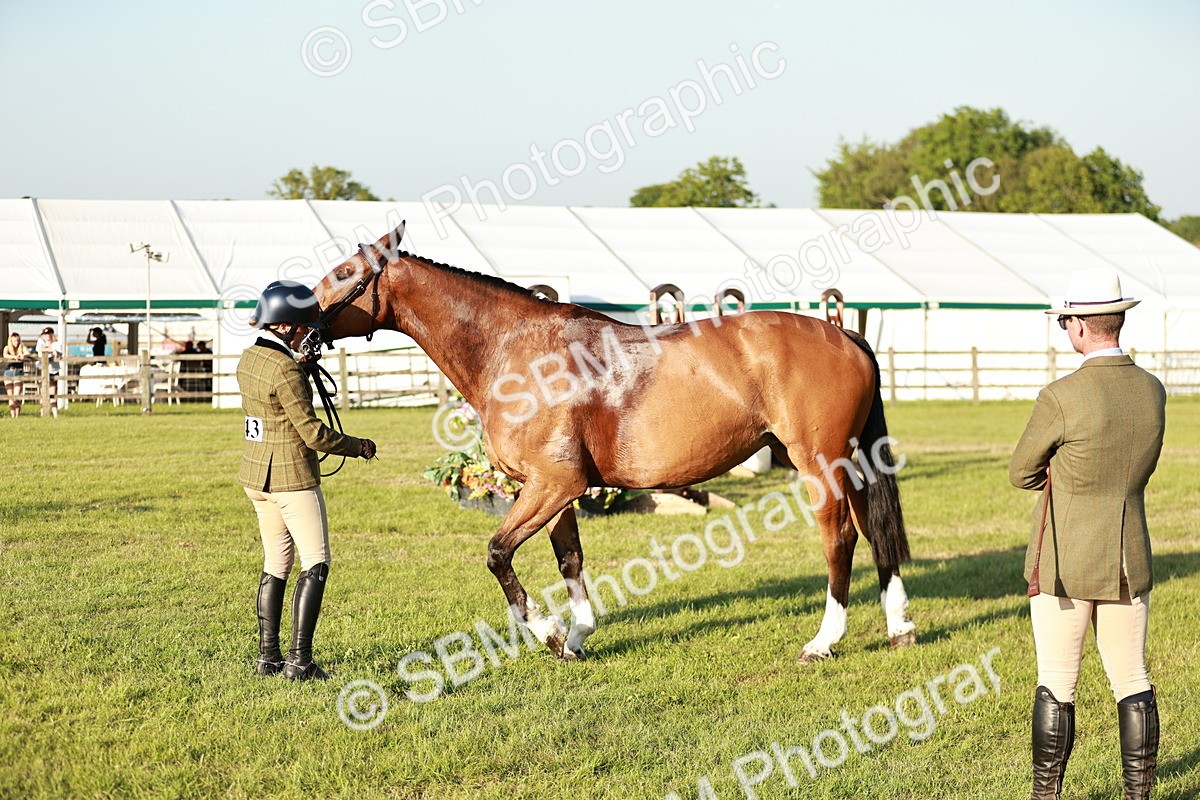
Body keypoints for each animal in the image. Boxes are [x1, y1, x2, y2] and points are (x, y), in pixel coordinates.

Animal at [310, 223, 916, 664]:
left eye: (344, 273)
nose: (293, 323)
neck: (516, 349)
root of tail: (845, 334)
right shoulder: (551, 490)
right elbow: (570, 559)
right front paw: (577, 637)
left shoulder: (556, 483)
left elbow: (498, 553)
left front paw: (548, 633)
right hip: (844, 461)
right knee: (873, 531)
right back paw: (899, 627)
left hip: (818, 464)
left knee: (841, 538)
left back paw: (824, 641)